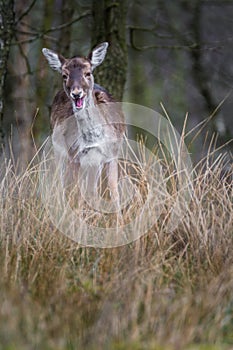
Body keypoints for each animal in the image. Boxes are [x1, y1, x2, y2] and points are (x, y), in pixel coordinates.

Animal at [42, 43, 124, 208]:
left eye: (88, 73)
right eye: (64, 75)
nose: (76, 93)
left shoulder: (112, 154)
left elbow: (114, 194)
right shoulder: (74, 155)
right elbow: (75, 194)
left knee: (92, 191)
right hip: (59, 150)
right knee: (61, 183)